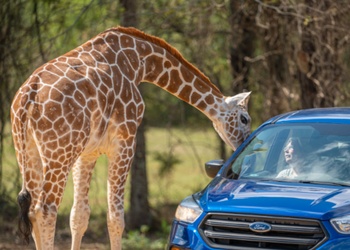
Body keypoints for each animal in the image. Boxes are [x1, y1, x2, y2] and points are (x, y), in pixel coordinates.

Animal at [10, 26, 250, 249]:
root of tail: (27, 98)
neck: (139, 62)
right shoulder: (125, 140)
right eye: (245, 118)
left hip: (28, 152)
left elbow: (79, 215)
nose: (243, 145)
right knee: (45, 210)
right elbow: (116, 217)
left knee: (33, 210)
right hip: (59, 153)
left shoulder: (88, 152)